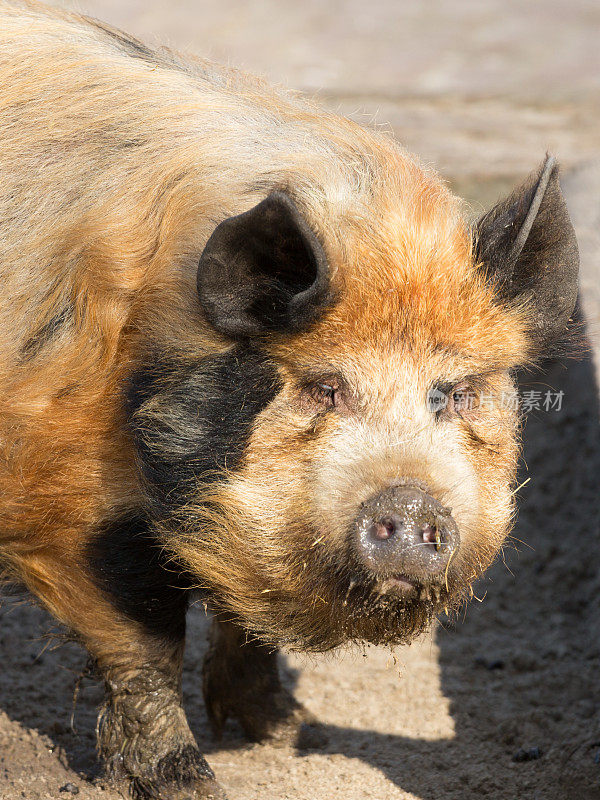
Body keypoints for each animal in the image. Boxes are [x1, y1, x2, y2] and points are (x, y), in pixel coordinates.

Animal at [0, 1, 580, 800]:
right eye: (321, 387)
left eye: (456, 394)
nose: (411, 502)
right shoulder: (66, 486)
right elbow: (144, 641)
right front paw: (192, 783)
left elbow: (244, 617)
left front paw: (299, 736)